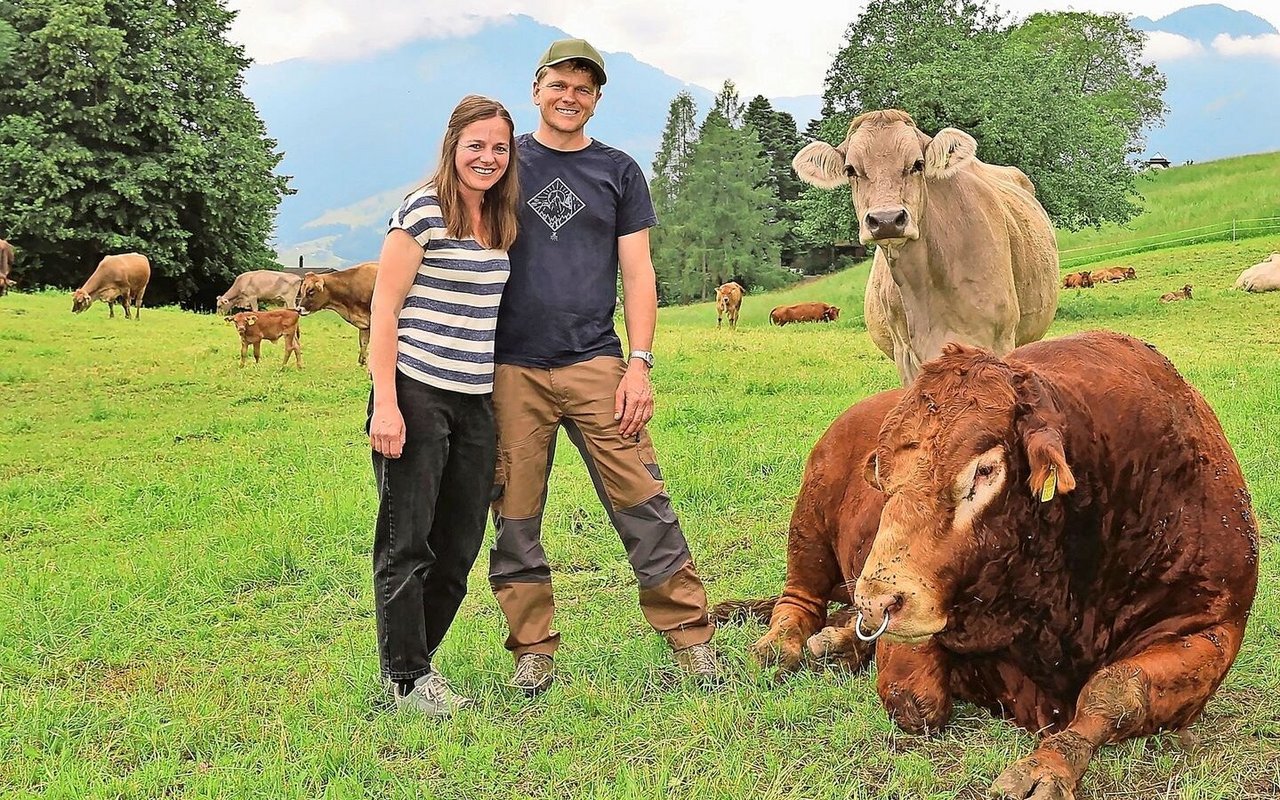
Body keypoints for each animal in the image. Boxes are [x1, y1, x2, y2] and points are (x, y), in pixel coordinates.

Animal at [727, 327, 1254, 793]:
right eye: (886, 476)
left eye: (984, 471)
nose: (878, 601)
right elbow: (916, 698)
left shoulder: (1212, 625)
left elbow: (1117, 689)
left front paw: (1049, 765)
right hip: (810, 524)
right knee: (798, 600)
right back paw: (785, 644)